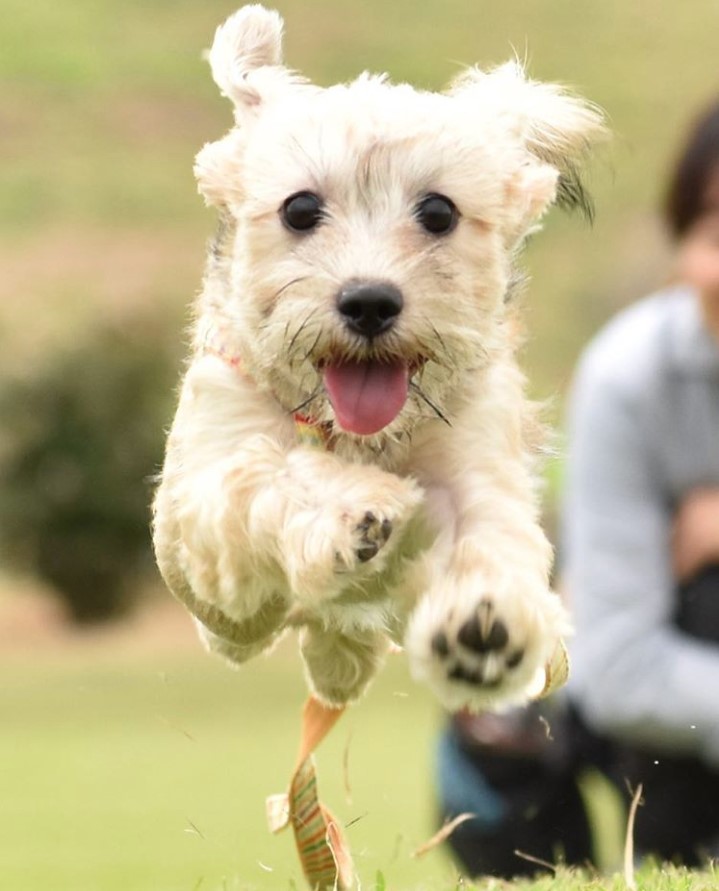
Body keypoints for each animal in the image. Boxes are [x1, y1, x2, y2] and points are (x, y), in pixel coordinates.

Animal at [153, 1, 608, 712]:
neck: (361, 437)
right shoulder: (206, 483)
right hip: (227, 613)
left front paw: (486, 627)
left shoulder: (477, 463)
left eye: (439, 211)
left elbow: (491, 540)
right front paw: (353, 513)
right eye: (301, 208)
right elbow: (268, 471)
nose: (369, 301)